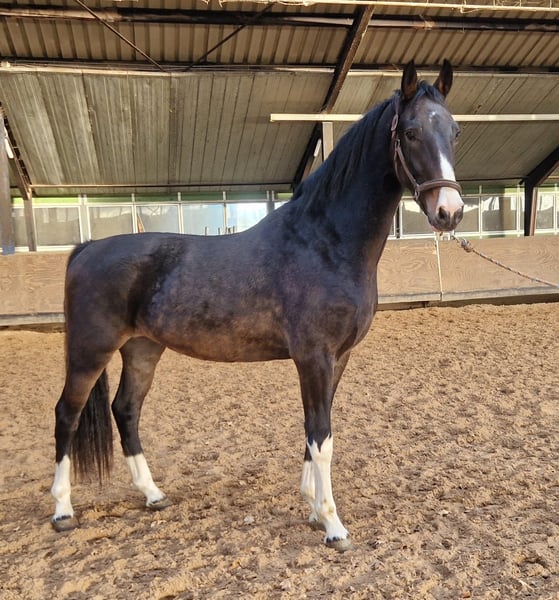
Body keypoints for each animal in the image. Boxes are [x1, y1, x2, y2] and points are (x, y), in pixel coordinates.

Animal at [50, 60, 463, 551]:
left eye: (455, 131)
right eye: (413, 132)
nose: (450, 212)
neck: (325, 242)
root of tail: (87, 248)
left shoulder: (337, 359)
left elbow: (314, 433)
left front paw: (311, 508)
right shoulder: (314, 358)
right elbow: (322, 438)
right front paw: (333, 525)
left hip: (143, 348)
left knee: (126, 410)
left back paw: (153, 495)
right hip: (90, 350)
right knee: (67, 414)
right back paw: (62, 511)